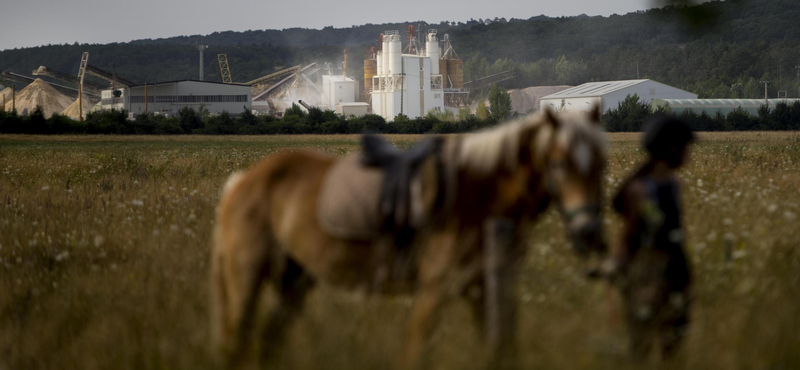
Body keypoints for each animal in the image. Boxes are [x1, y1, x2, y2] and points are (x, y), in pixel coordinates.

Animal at [211, 107, 608, 368]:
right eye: (558, 163)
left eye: (601, 163)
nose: (589, 233)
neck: (478, 194)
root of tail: (243, 181)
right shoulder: (435, 288)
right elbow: (417, 353)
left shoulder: (484, 288)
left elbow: (502, 350)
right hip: (246, 277)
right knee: (235, 343)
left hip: (294, 281)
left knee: (266, 343)